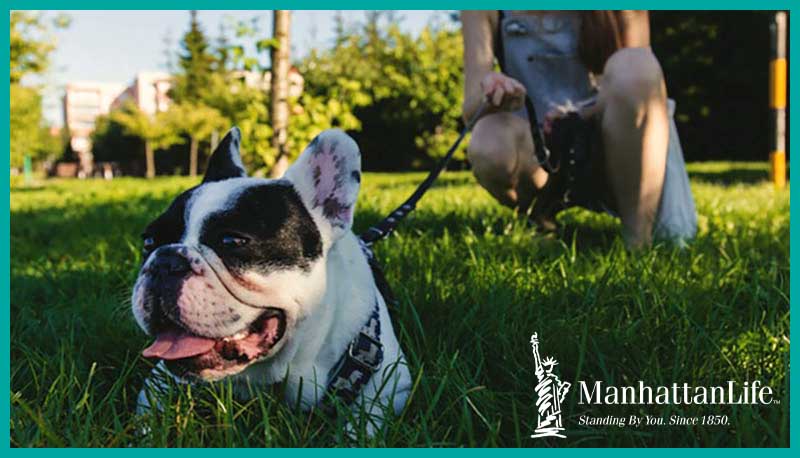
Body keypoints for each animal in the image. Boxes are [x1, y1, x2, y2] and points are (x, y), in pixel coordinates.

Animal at [132, 127, 412, 428]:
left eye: (232, 241)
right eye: (148, 242)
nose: (165, 261)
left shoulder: (392, 388)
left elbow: (364, 423)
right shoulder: (159, 379)